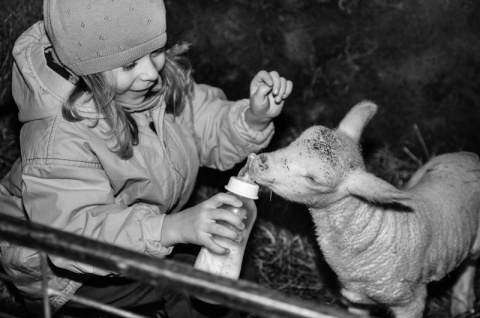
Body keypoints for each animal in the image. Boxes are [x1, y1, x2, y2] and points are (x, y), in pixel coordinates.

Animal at [249, 101, 480, 316]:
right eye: (295, 140)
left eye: (312, 179)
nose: (259, 163)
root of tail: (471, 156)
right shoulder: (356, 298)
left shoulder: (410, 301)